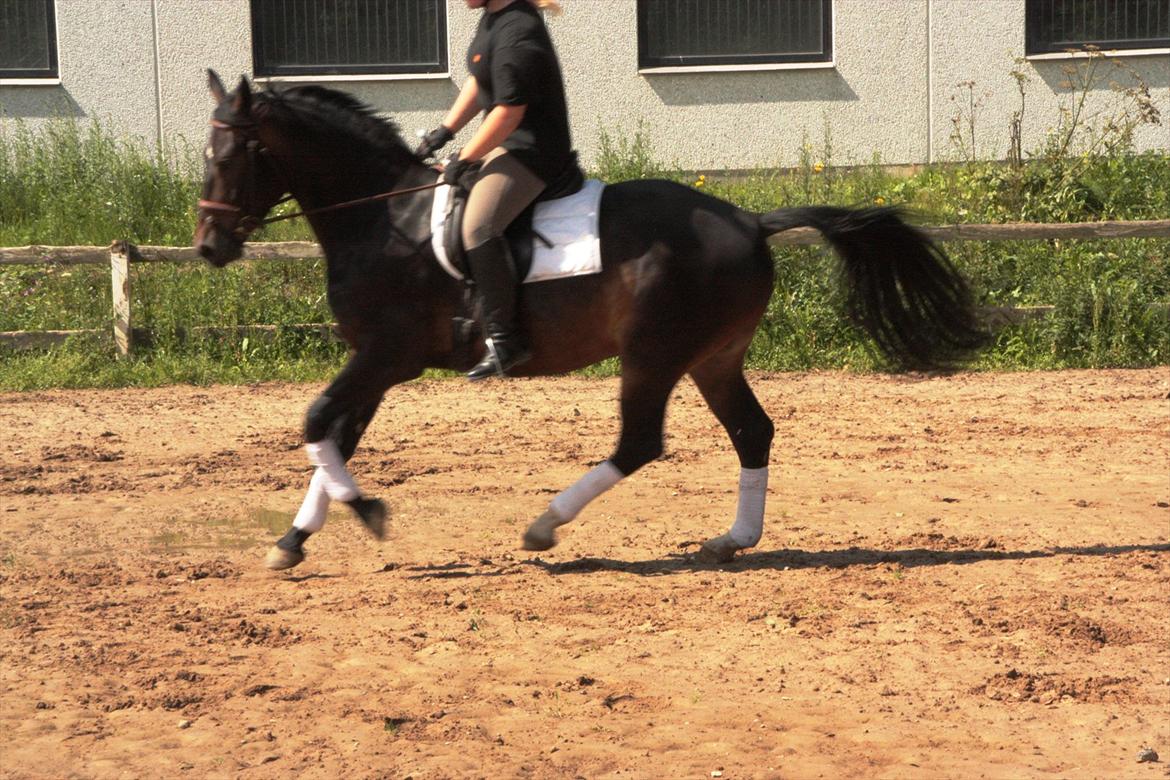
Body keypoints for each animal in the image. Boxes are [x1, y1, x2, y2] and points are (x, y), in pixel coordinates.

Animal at [196, 73, 982, 570]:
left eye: (230, 155)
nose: (209, 246)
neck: (386, 217)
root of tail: (750, 220)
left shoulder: (387, 355)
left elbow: (316, 421)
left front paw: (366, 514)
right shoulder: (374, 361)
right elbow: (334, 433)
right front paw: (295, 540)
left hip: (653, 354)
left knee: (639, 442)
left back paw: (545, 526)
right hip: (713, 356)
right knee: (751, 431)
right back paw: (731, 541)